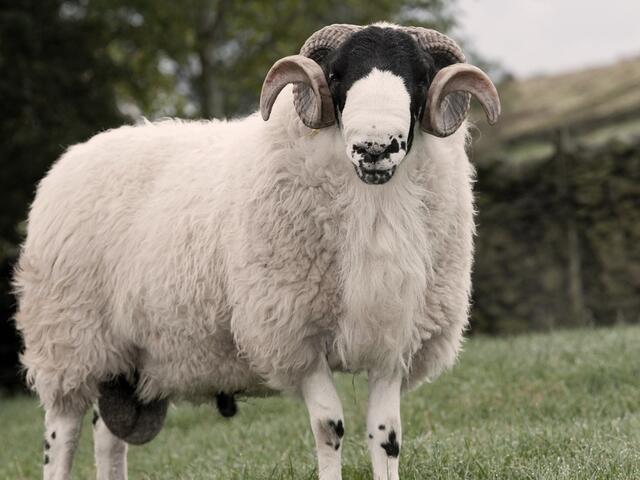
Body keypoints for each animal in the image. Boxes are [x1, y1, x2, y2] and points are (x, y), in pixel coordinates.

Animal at [13, 23, 500, 480]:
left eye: (420, 78)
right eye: (337, 75)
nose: (375, 148)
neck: (374, 205)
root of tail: (71, 157)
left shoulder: (392, 337)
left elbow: (387, 436)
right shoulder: (294, 334)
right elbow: (330, 427)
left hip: (122, 362)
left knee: (108, 437)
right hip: (69, 340)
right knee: (62, 434)